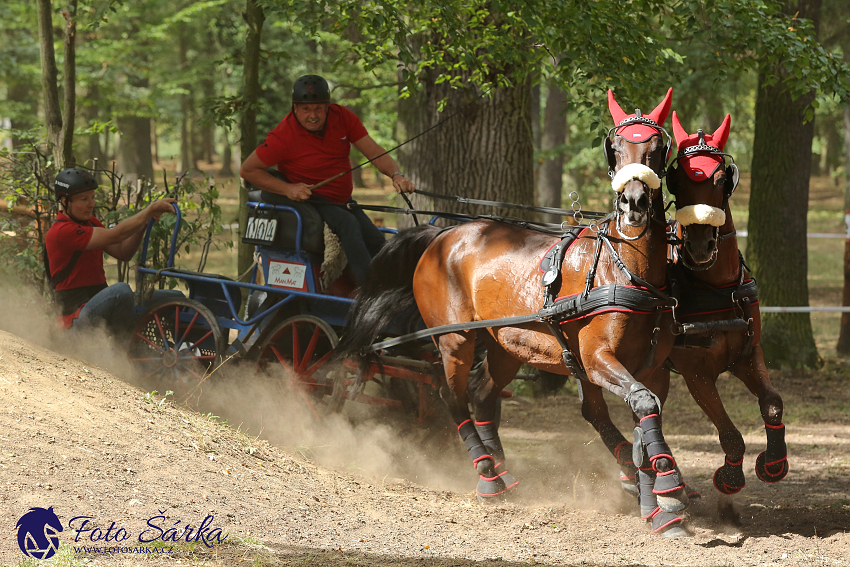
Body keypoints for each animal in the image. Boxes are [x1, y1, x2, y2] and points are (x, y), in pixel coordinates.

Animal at [336, 89, 688, 536]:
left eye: (658, 148)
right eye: (616, 146)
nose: (634, 202)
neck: (624, 270)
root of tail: (442, 233)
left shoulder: (654, 369)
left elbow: (645, 414)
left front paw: (655, 497)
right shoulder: (596, 359)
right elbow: (641, 405)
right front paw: (667, 491)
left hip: (505, 345)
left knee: (484, 393)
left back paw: (501, 468)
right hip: (455, 339)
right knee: (451, 396)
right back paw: (487, 475)